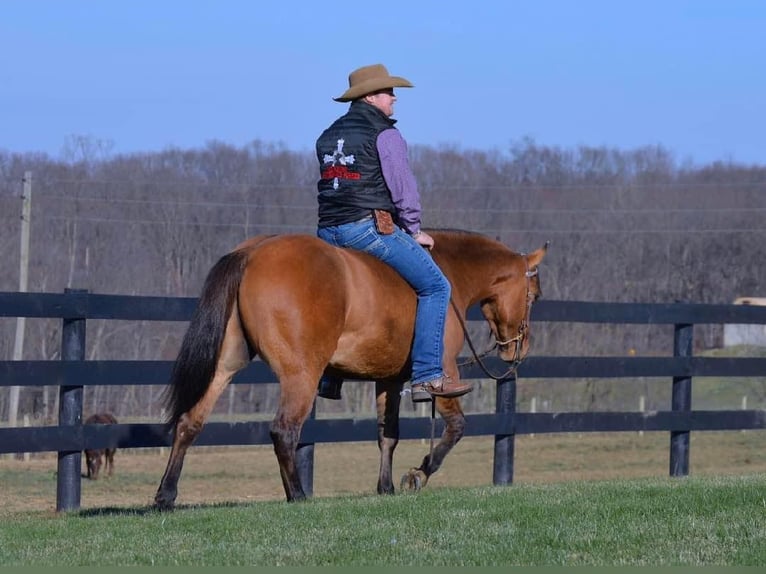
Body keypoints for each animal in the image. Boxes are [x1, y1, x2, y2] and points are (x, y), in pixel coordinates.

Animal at [154, 230, 544, 508]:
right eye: (534, 295)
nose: (520, 348)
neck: (450, 274)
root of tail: (251, 252)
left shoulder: (388, 379)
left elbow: (388, 435)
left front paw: (386, 487)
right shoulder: (444, 373)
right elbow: (456, 427)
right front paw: (418, 474)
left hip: (226, 364)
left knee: (190, 422)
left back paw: (165, 496)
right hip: (301, 374)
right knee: (284, 430)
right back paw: (298, 496)